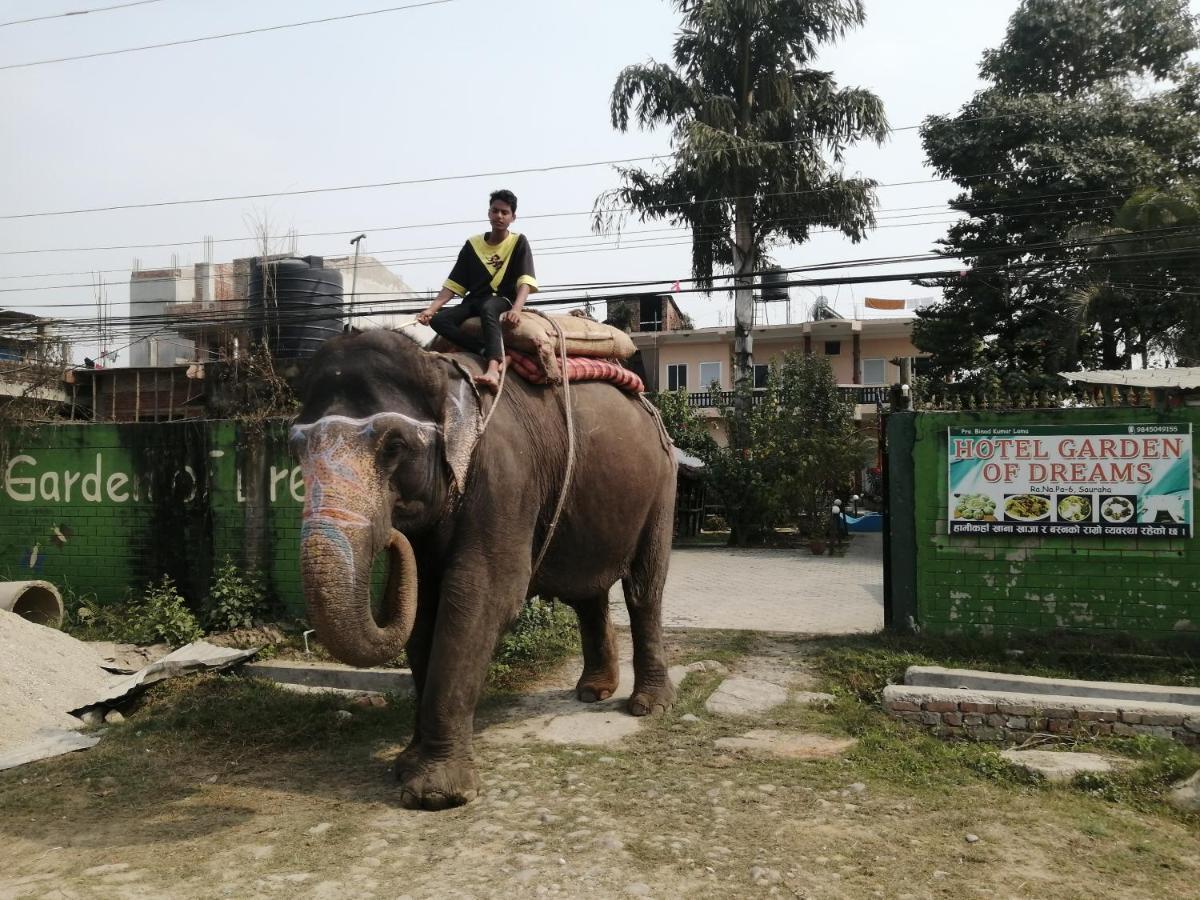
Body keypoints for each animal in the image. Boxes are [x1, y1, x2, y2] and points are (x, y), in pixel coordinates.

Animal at [292, 328, 676, 816]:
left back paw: (649, 707)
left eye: (394, 447)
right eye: (295, 450)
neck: (438, 370)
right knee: (587, 594)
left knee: (644, 588)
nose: (393, 537)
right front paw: (405, 764)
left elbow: (479, 596)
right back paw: (593, 692)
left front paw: (436, 795)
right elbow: (426, 605)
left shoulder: (505, 478)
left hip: (661, 488)